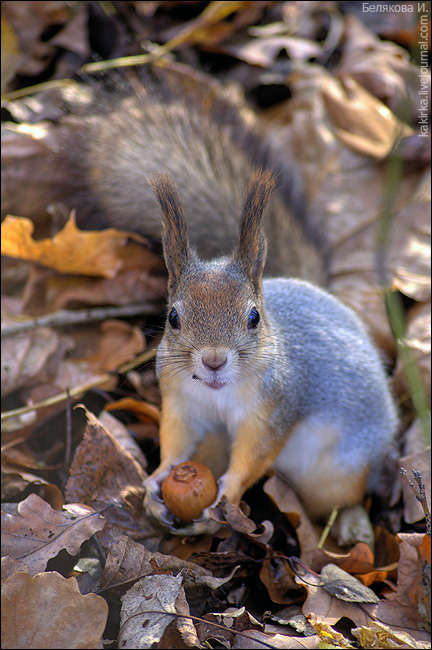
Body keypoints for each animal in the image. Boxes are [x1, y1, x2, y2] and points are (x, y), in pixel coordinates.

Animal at [144, 170, 398, 536]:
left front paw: (228, 491)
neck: (219, 392)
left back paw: (350, 523)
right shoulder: (181, 403)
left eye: (254, 317)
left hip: (342, 471)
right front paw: (156, 478)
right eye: (173, 317)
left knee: (343, 499)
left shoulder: (274, 408)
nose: (214, 361)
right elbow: (176, 440)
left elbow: (255, 453)